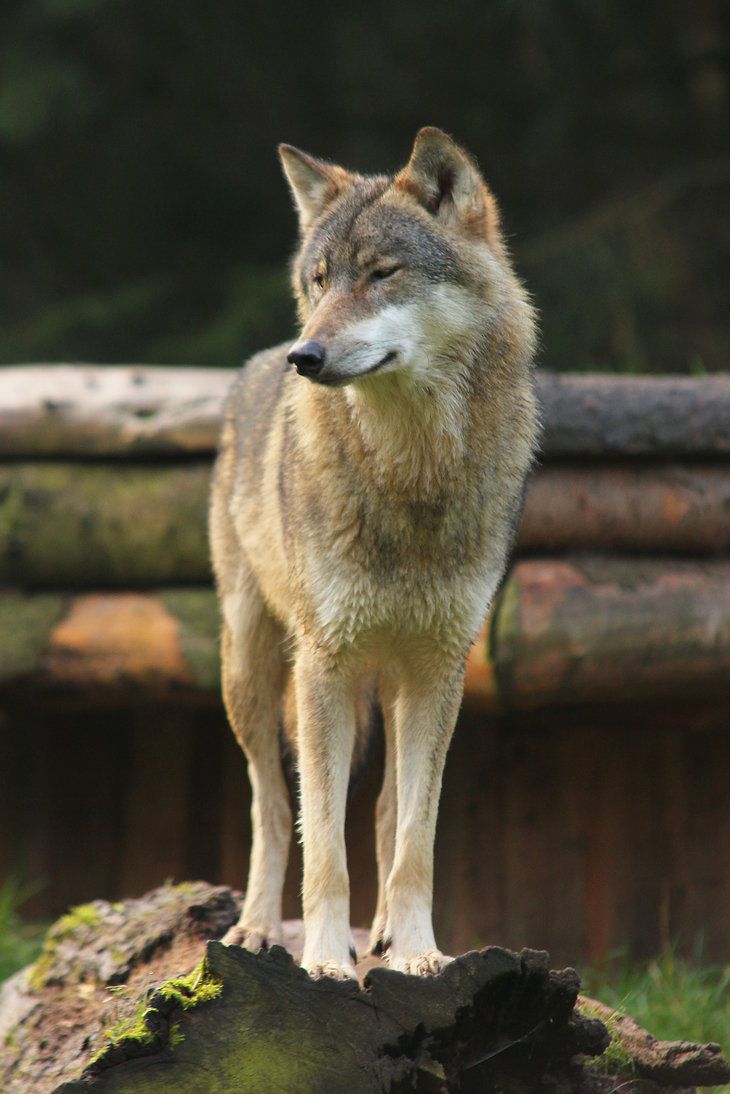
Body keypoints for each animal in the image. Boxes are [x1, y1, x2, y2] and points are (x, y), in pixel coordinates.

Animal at [209, 127, 539, 980]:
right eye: (321, 280)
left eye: (383, 273)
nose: (305, 356)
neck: (409, 475)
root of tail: (252, 363)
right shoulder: (324, 664)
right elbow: (324, 843)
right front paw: (326, 961)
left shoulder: (439, 668)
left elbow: (415, 837)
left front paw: (418, 952)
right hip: (255, 672)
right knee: (268, 803)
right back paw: (256, 930)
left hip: (390, 686)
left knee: (389, 808)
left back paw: (387, 933)